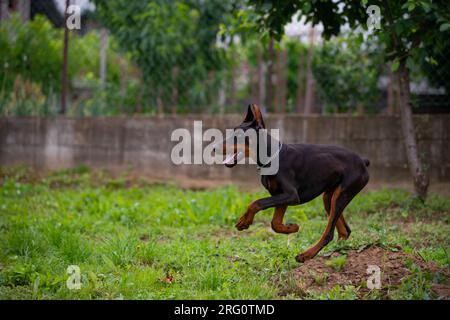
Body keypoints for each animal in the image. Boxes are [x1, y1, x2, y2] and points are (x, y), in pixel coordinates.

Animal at [218, 104, 370, 262]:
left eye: (239, 136)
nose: (215, 147)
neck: (271, 156)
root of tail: (362, 161)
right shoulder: (280, 195)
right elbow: (275, 223)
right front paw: (291, 228)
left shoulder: (291, 195)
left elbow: (256, 203)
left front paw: (244, 221)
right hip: (330, 197)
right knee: (345, 230)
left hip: (342, 194)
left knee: (329, 233)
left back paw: (307, 254)